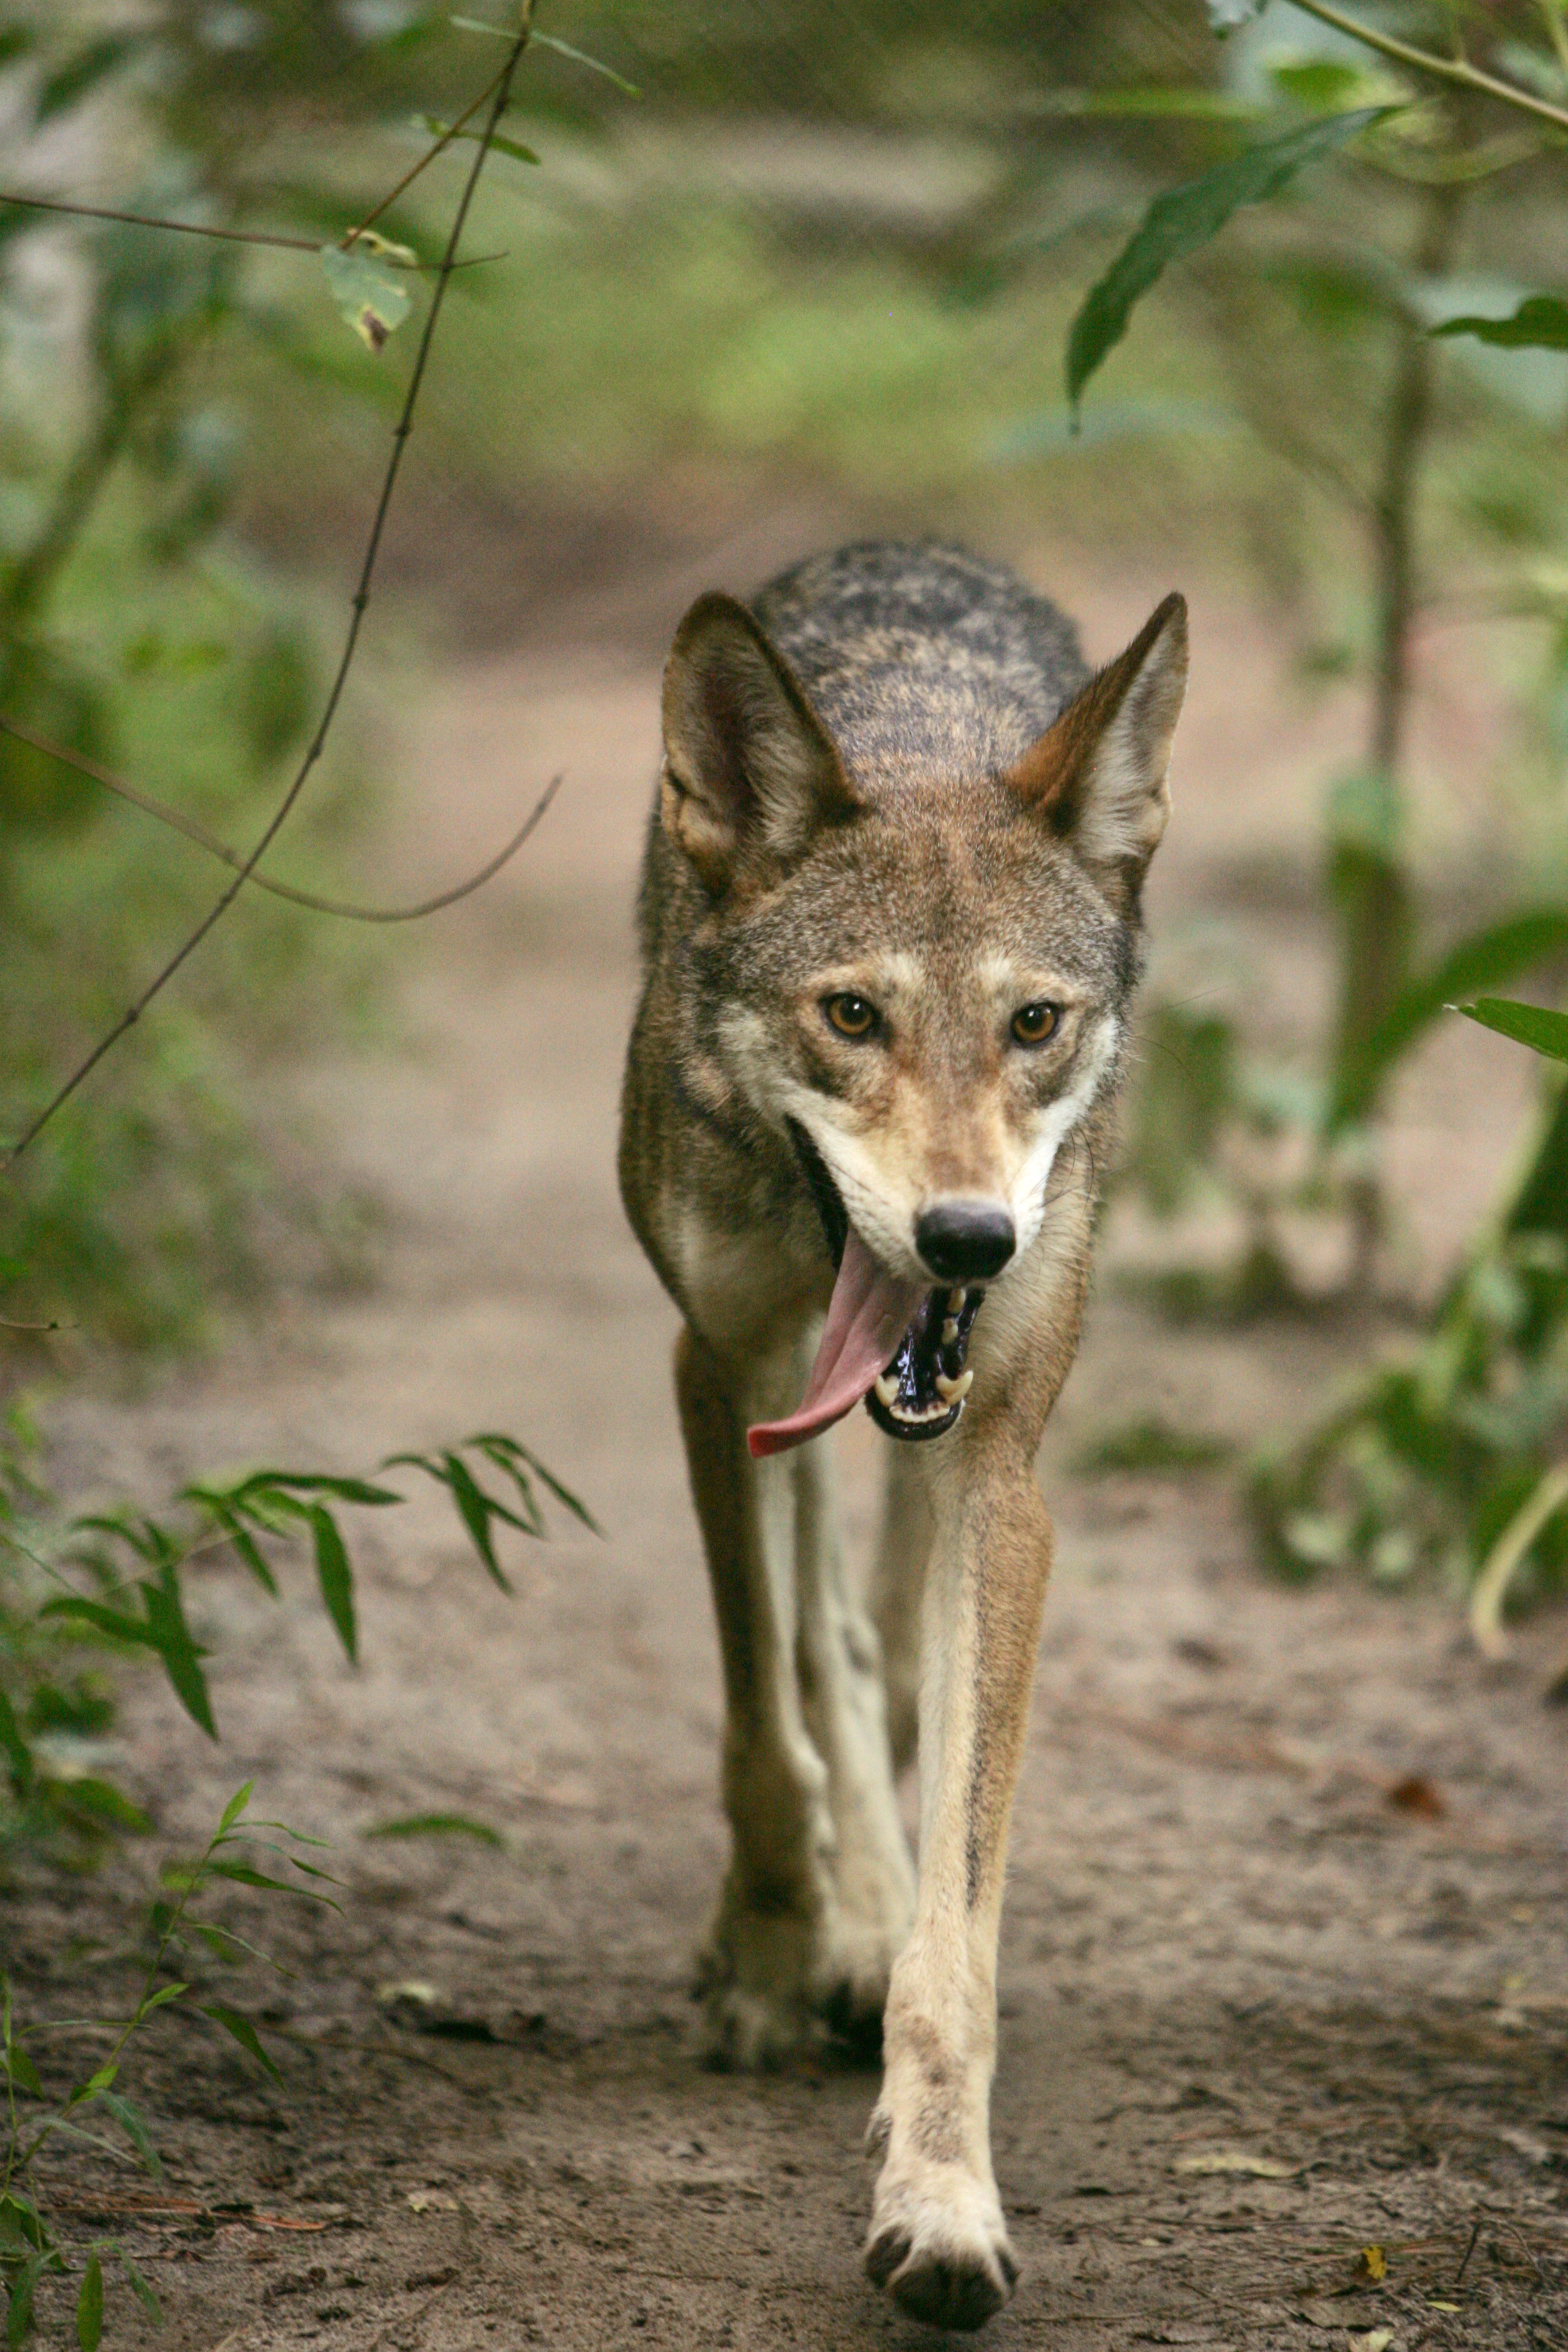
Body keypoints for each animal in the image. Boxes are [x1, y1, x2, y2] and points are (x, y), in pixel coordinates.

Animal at [620, 540, 1185, 2323]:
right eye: (852, 1016)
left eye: (1033, 1025)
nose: (965, 1241)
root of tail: (909, 550)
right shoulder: (717, 1371)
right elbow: (759, 1724)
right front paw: (773, 1954)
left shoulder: (1000, 1474)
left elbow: (960, 1925)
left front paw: (937, 2197)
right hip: (777, 1404)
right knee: (823, 1646)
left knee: (868, 1645)